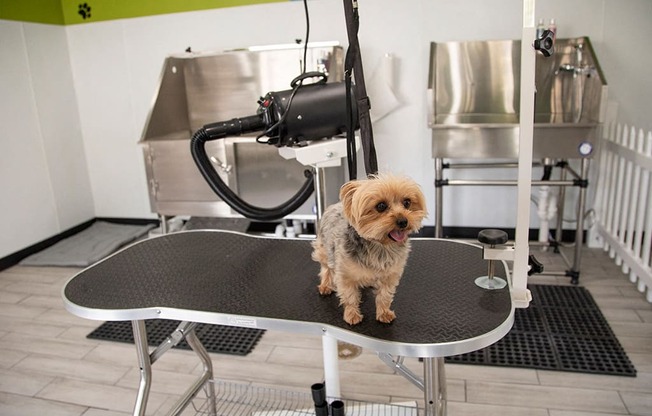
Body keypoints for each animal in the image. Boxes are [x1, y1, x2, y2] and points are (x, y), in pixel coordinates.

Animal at [312, 174, 428, 326]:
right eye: (381, 206)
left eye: (407, 202)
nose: (403, 221)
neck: (380, 247)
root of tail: (335, 205)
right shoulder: (345, 275)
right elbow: (350, 297)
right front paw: (352, 314)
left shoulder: (390, 275)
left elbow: (384, 295)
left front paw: (384, 313)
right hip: (324, 249)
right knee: (326, 268)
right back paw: (325, 285)